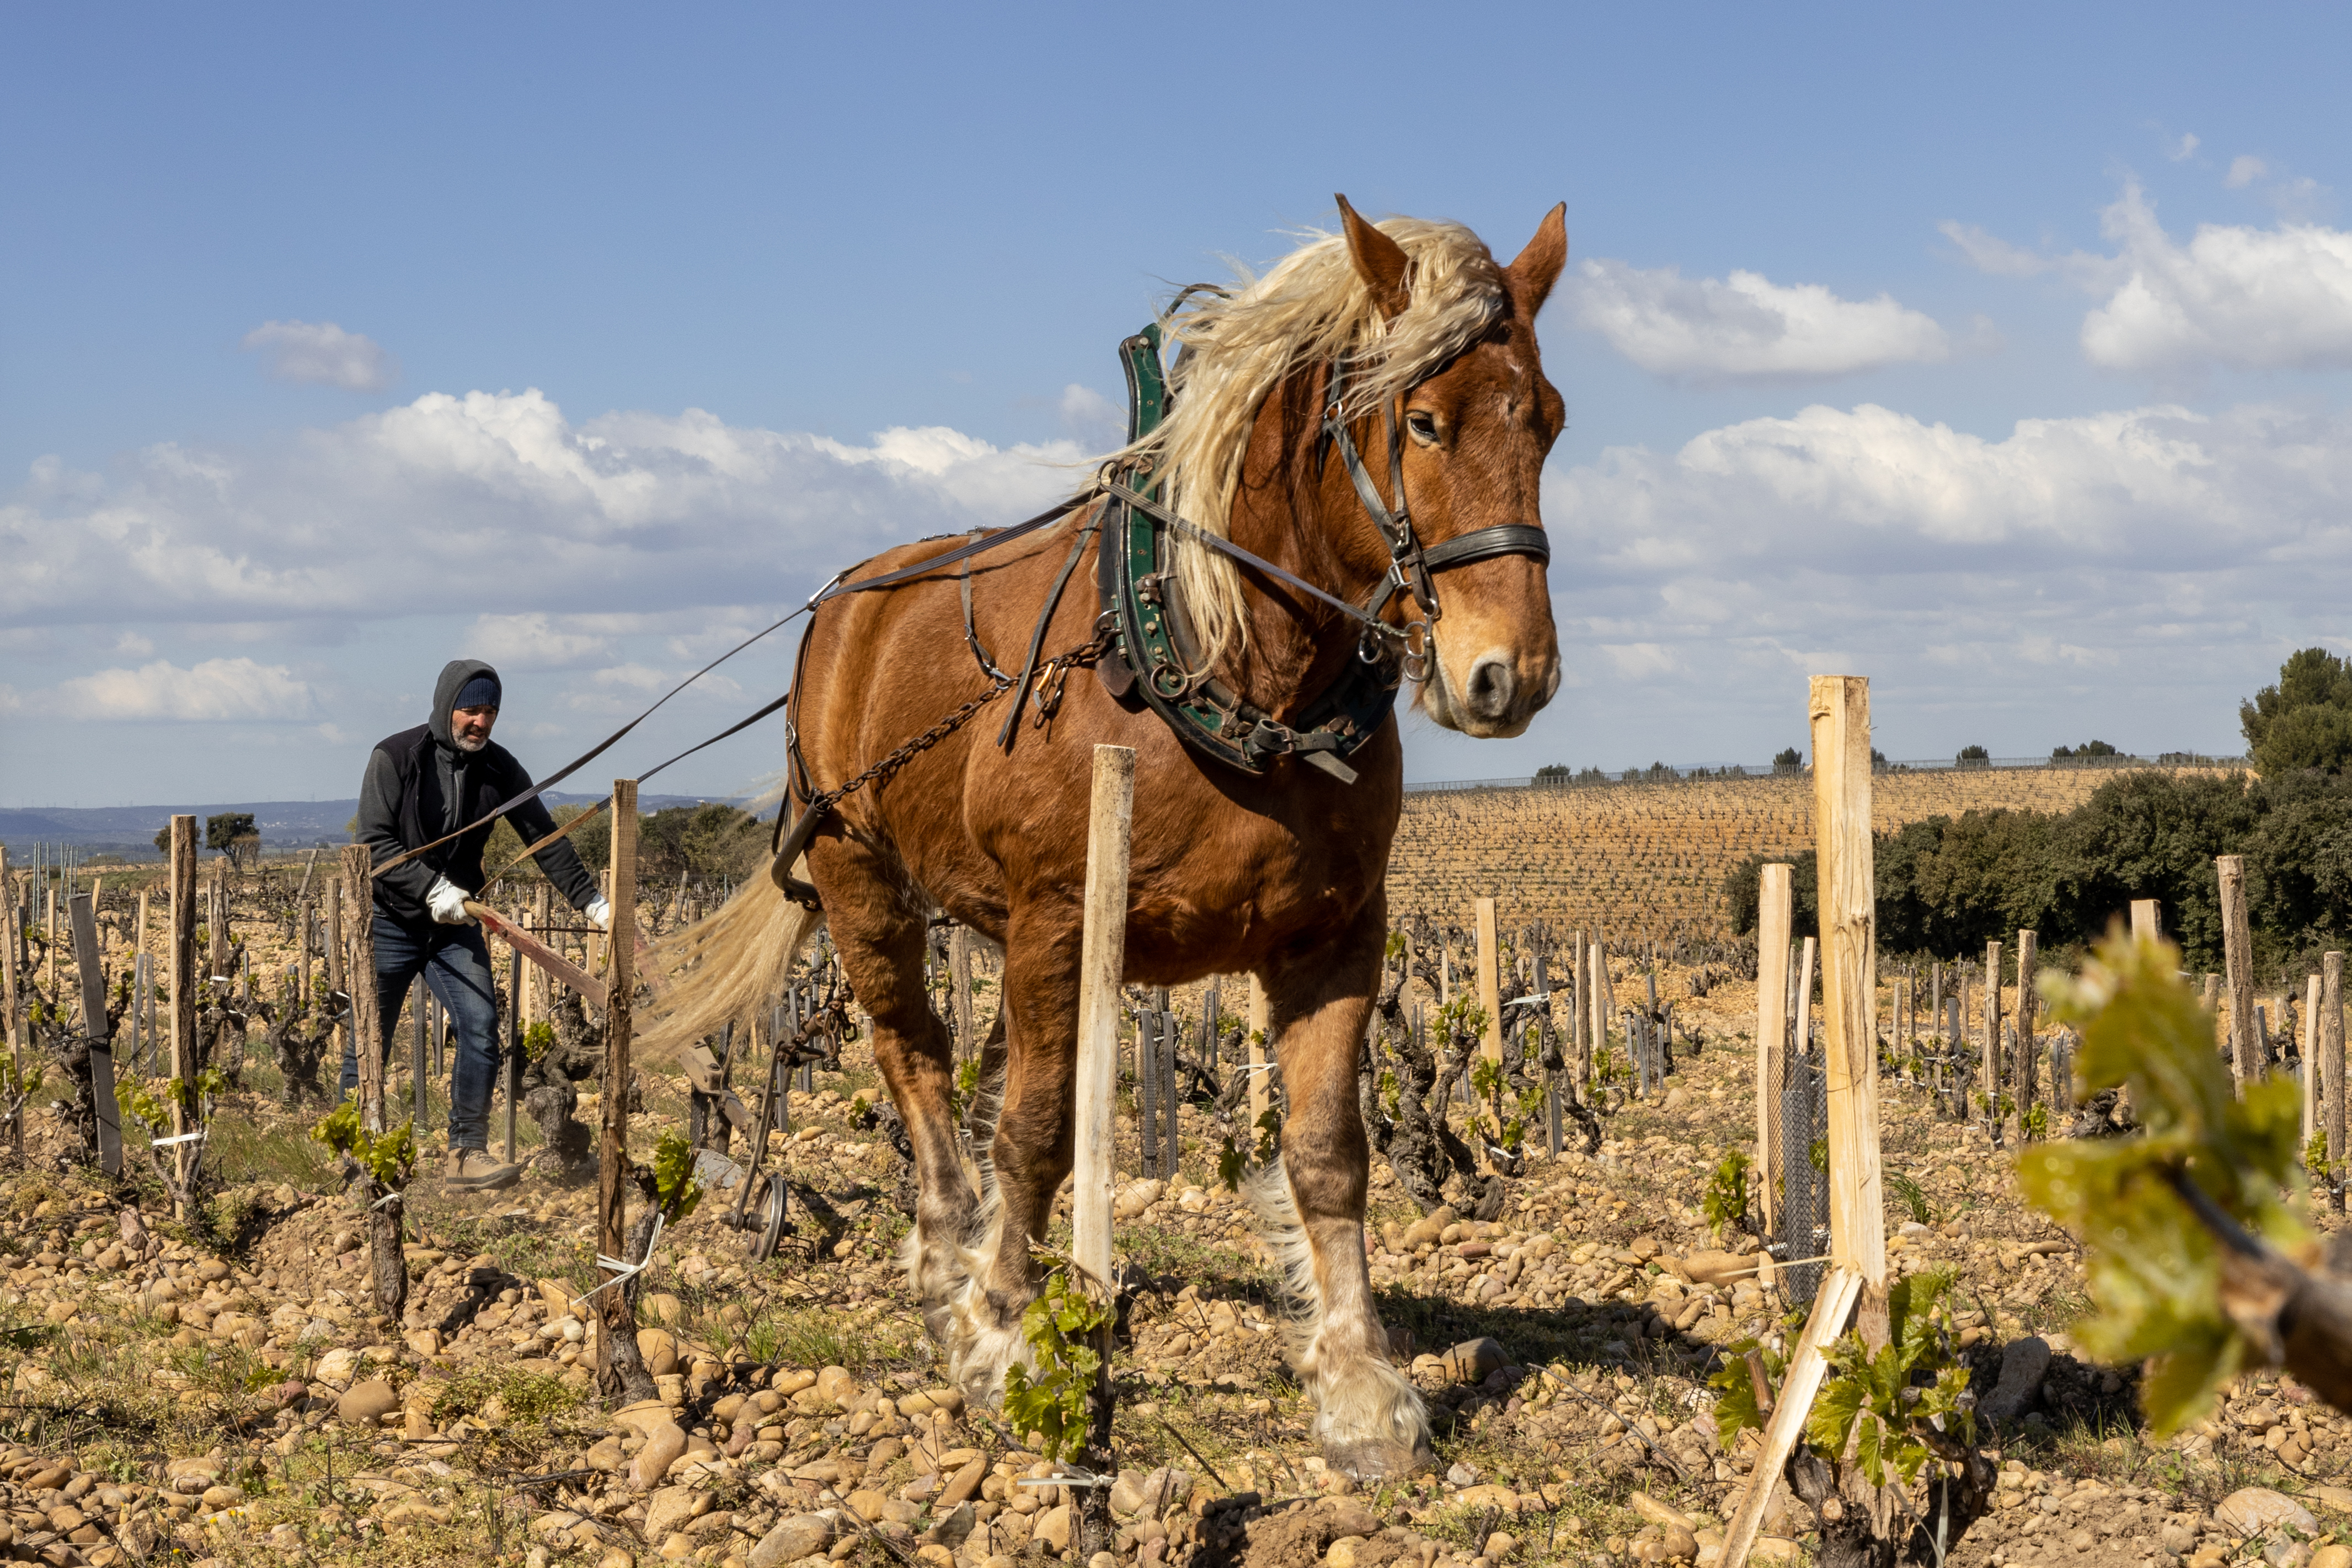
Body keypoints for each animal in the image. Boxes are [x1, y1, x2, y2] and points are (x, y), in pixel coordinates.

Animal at [649, 200, 1562, 1485]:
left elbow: (1327, 1149)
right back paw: (948, 1262)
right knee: (916, 1057)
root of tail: (851, 597)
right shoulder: (1057, 917)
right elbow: (1035, 1132)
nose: (1507, 675)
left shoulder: (1335, 933)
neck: (1226, 669)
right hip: (860, 875)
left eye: (1549, 420)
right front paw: (999, 1334)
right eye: (1422, 420)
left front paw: (1357, 1385)